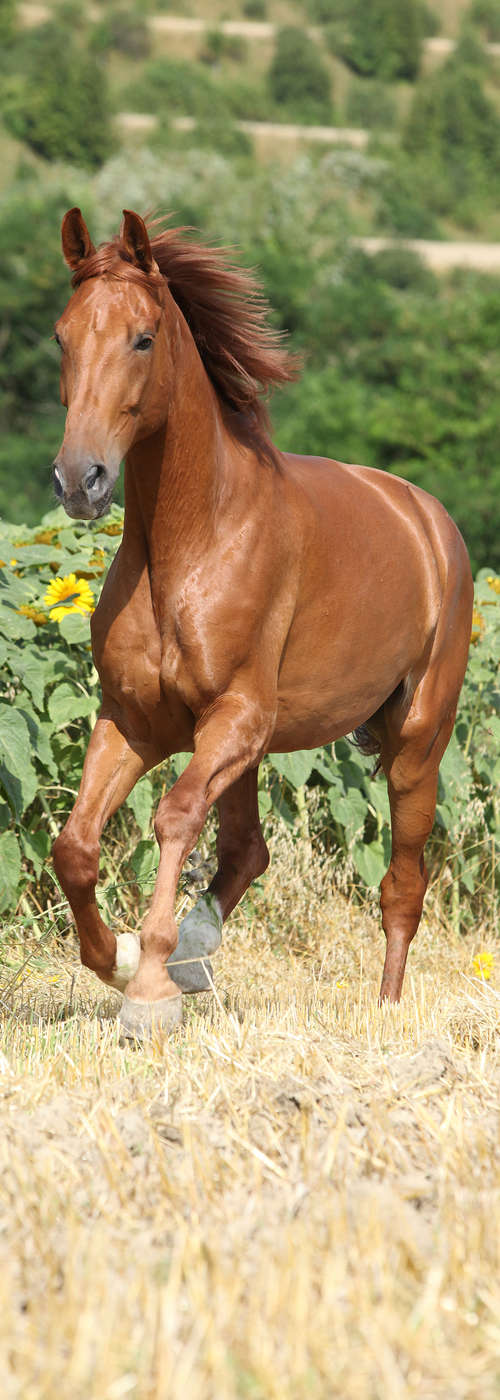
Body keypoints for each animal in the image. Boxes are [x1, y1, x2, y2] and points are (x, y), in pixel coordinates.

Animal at [51, 206, 473, 1038]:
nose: (80, 480)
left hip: (415, 744)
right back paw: (196, 950)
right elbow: (76, 845)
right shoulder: (136, 721)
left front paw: (149, 988)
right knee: (247, 850)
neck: (192, 542)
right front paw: (121, 959)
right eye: (61, 335)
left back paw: (385, 1009)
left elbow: (175, 816)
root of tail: (428, 517)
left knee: (402, 883)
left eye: (143, 337)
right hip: (248, 746)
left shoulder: (237, 714)